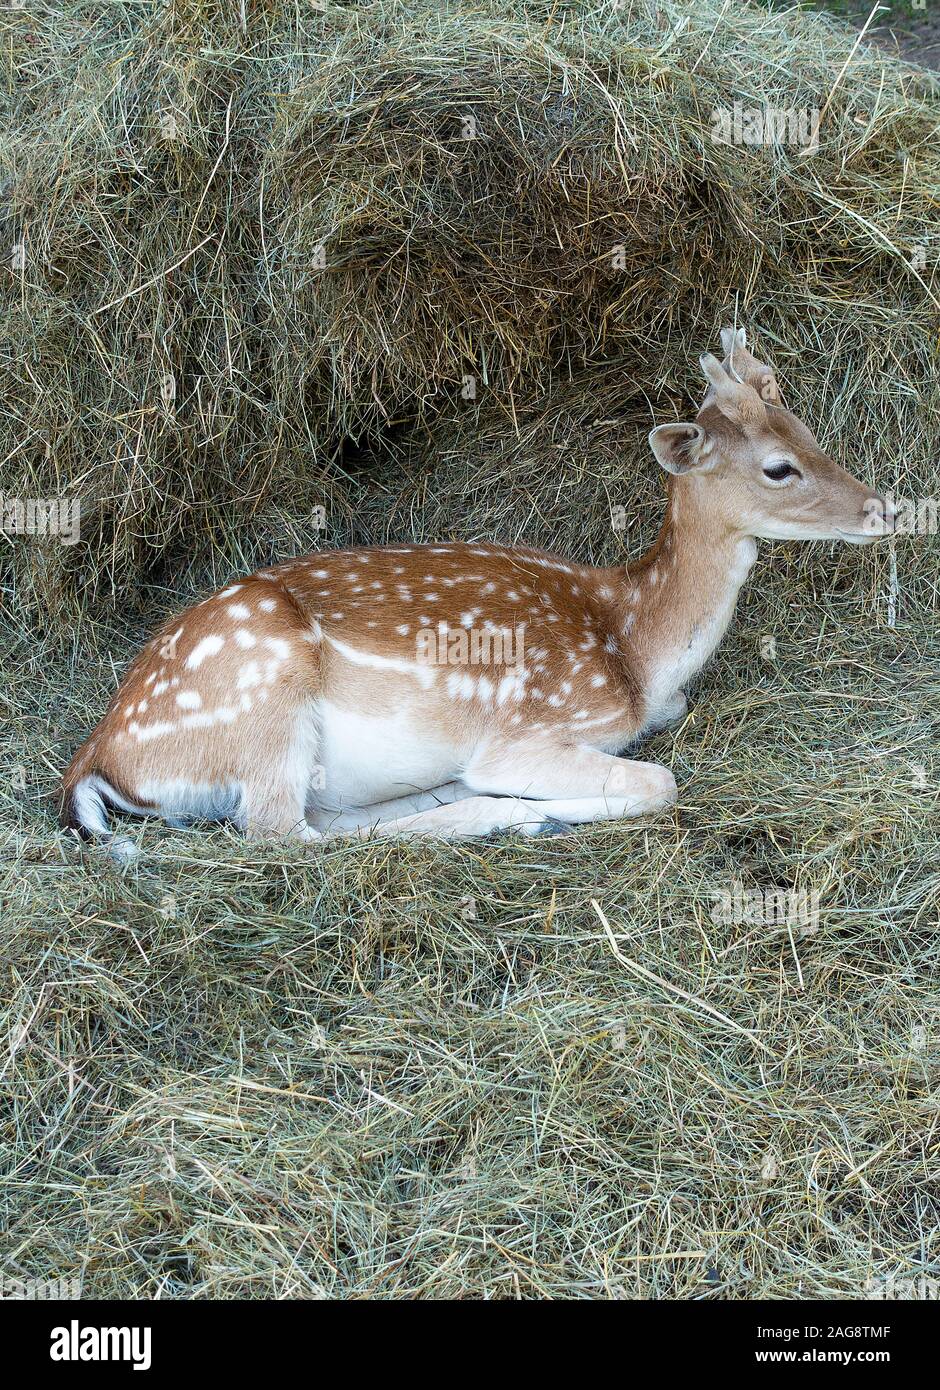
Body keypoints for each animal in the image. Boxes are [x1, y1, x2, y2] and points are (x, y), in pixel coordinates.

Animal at [61, 329, 893, 861]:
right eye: (779, 467)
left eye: (808, 428)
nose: (881, 508)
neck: (635, 647)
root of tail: (97, 757)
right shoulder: (530, 728)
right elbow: (659, 780)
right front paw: (547, 809)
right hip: (263, 703)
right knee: (280, 834)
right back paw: (513, 818)